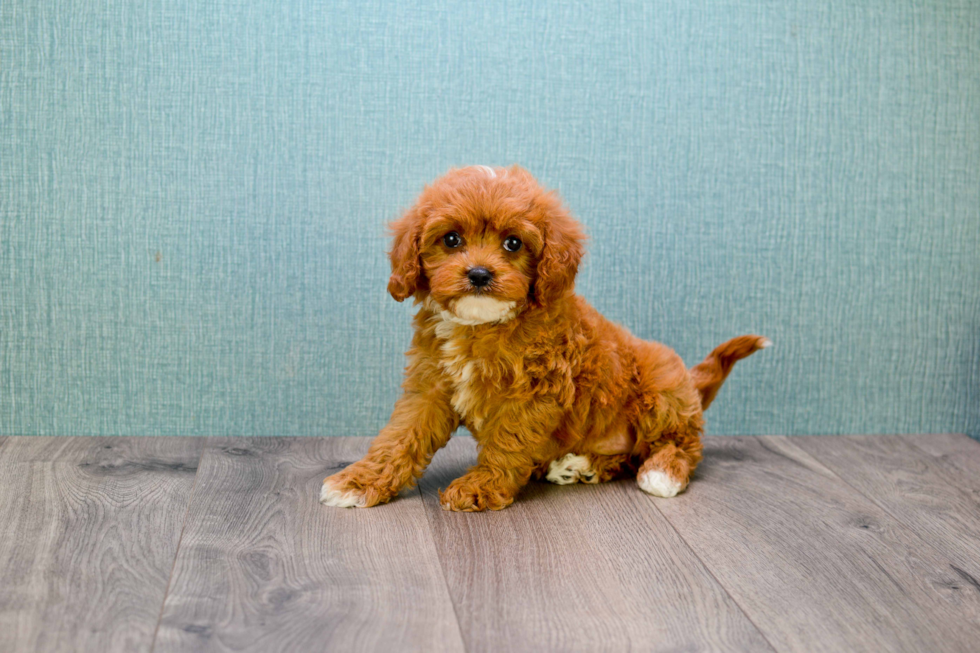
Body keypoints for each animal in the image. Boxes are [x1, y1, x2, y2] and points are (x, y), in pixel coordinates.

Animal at [322, 166, 764, 512]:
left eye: (513, 243)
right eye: (451, 239)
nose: (479, 274)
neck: (480, 326)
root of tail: (690, 382)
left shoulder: (535, 392)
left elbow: (507, 440)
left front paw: (482, 485)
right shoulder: (430, 386)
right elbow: (400, 436)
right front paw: (359, 482)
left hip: (660, 388)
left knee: (680, 442)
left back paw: (662, 472)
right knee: (625, 457)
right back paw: (578, 465)